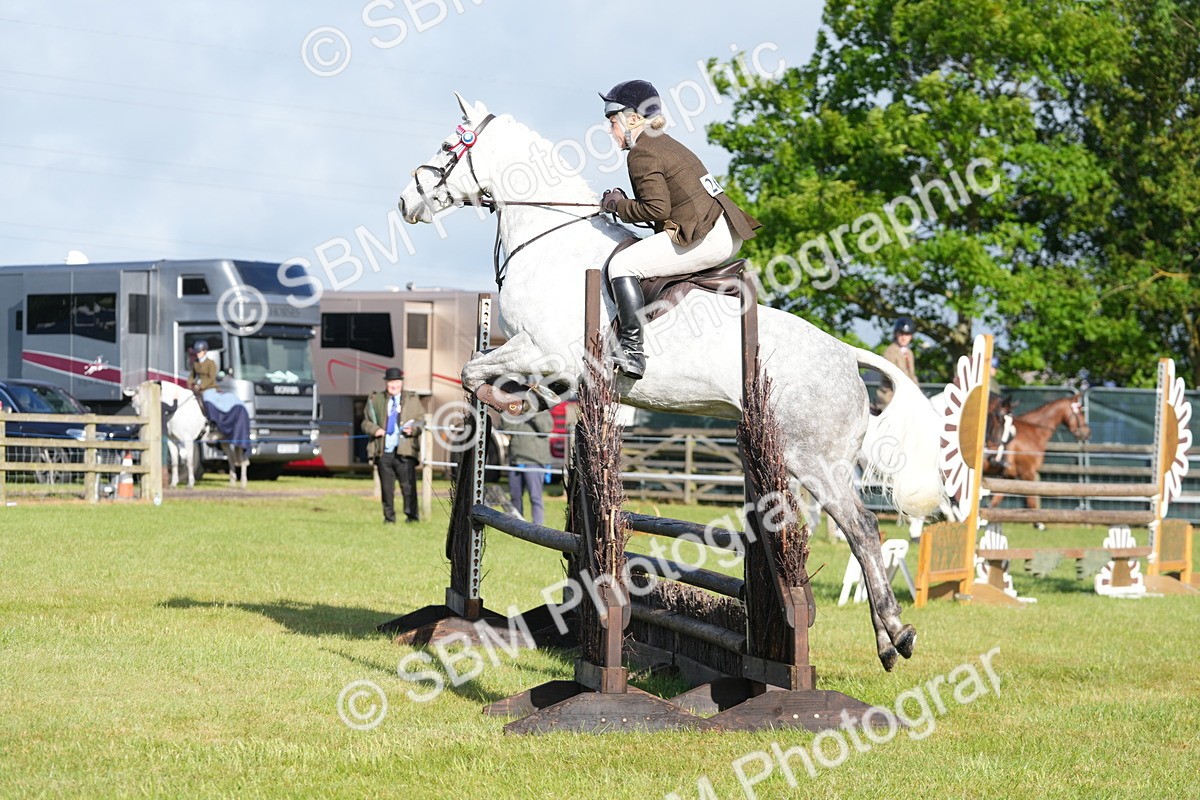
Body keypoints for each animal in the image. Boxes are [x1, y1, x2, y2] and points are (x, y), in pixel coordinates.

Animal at [395, 94, 948, 672]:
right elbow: (481, 370)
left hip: (815, 459)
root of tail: (845, 354)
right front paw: (520, 401)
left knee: (862, 530)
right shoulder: (541, 355)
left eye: (447, 146)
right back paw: (888, 637)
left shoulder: (545, 350)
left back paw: (894, 637)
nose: (406, 200)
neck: (551, 239)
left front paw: (511, 402)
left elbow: (473, 373)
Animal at [983, 393, 1090, 528]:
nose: (1087, 433)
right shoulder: (1027, 473)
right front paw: (1039, 524)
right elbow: (1031, 500)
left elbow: (995, 500)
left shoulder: (1008, 476)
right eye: (1080, 410)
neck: (1034, 433)